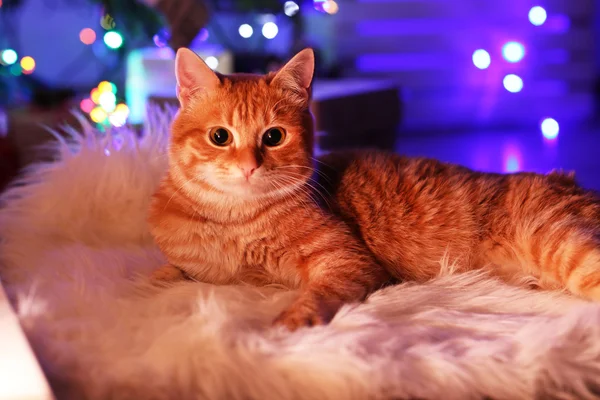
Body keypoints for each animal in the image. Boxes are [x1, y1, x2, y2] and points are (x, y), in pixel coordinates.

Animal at [148, 47, 600, 332]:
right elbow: (164, 274)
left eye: (273, 137)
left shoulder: (346, 262)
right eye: (220, 137)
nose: (248, 166)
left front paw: (293, 320)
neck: (233, 222)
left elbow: (317, 293)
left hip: (564, 248)